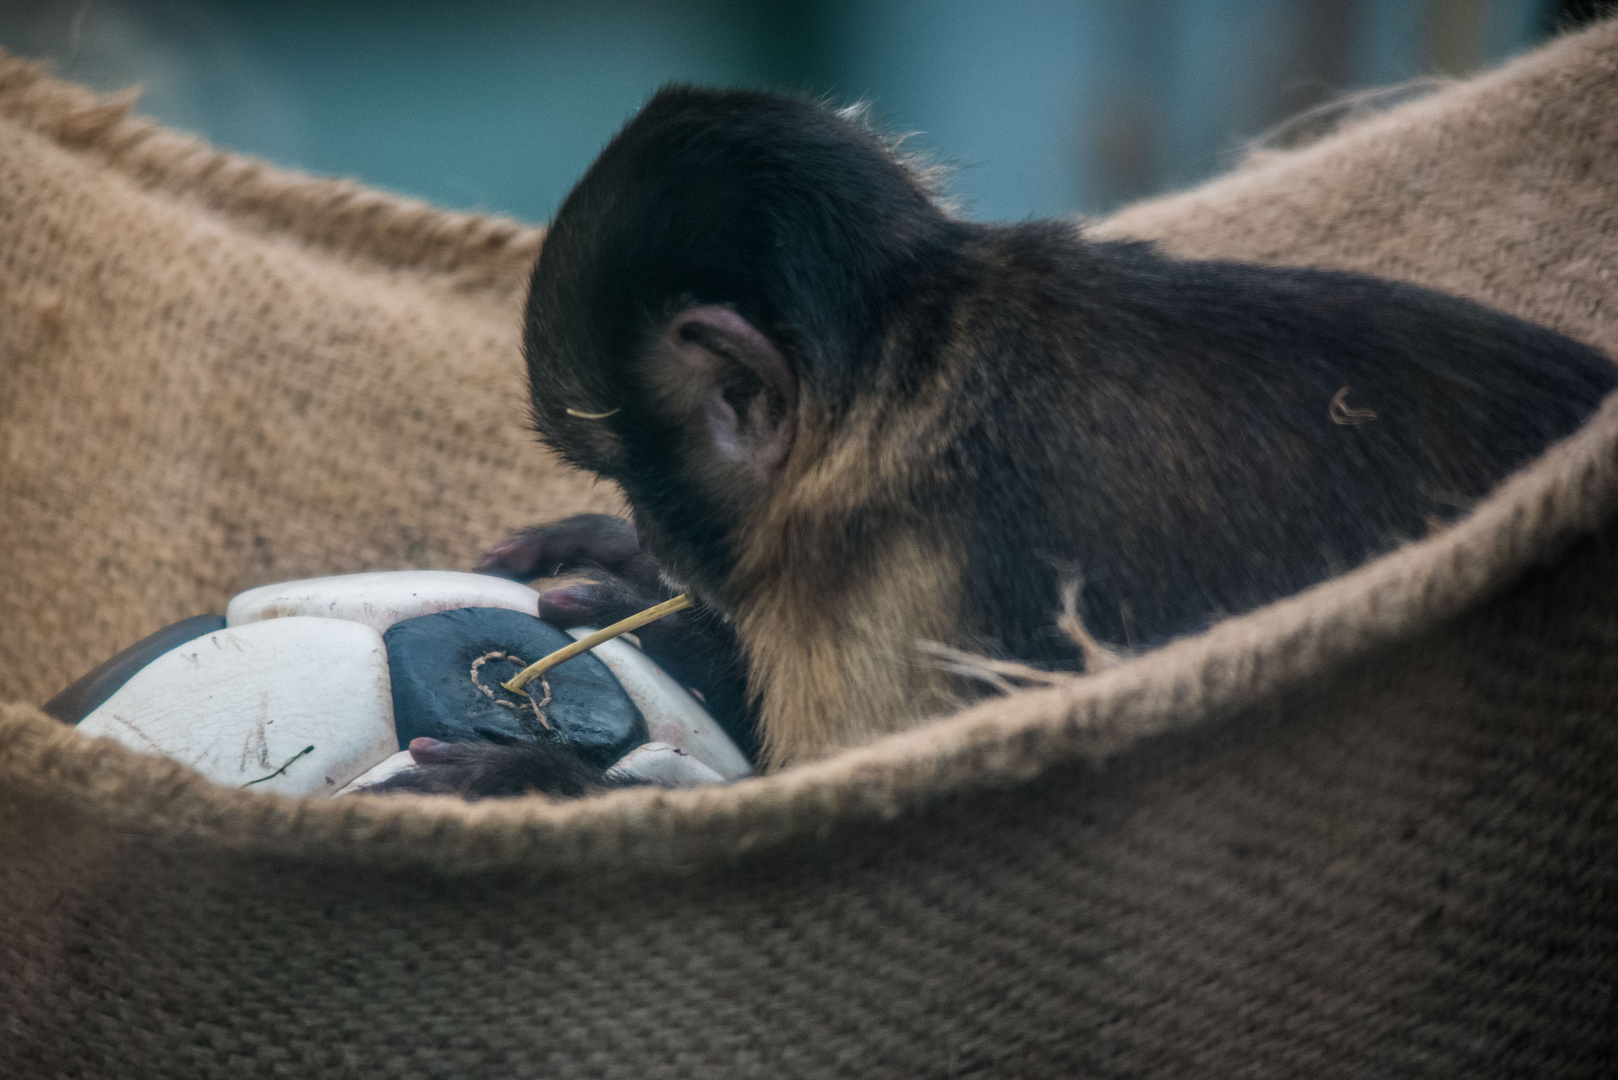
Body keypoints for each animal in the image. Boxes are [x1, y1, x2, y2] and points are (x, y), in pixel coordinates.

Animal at [370, 84, 1618, 799]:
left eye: (633, 470)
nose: (651, 532)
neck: (908, 378)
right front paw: (642, 595)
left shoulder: (900, 583)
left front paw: (538, 780)